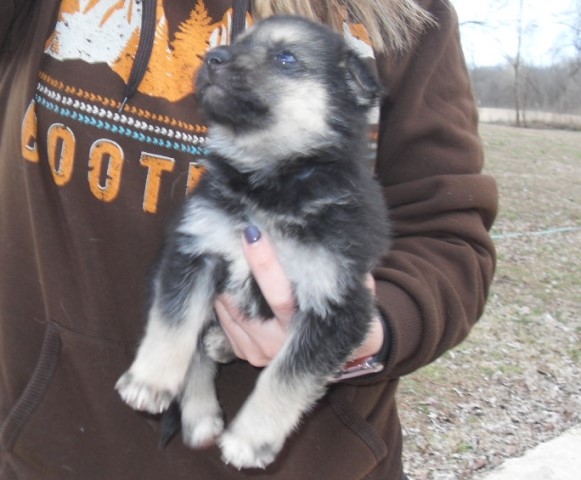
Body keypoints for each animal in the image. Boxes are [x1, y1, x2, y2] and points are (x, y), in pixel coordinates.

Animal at [116, 15, 390, 468]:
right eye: (237, 42)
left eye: (286, 58)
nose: (213, 57)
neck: (270, 186)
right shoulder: (195, 250)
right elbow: (175, 325)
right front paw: (150, 381)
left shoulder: (337, 304)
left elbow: (287, 377)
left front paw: (250, 440)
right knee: (195, 348)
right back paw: (201, 413)